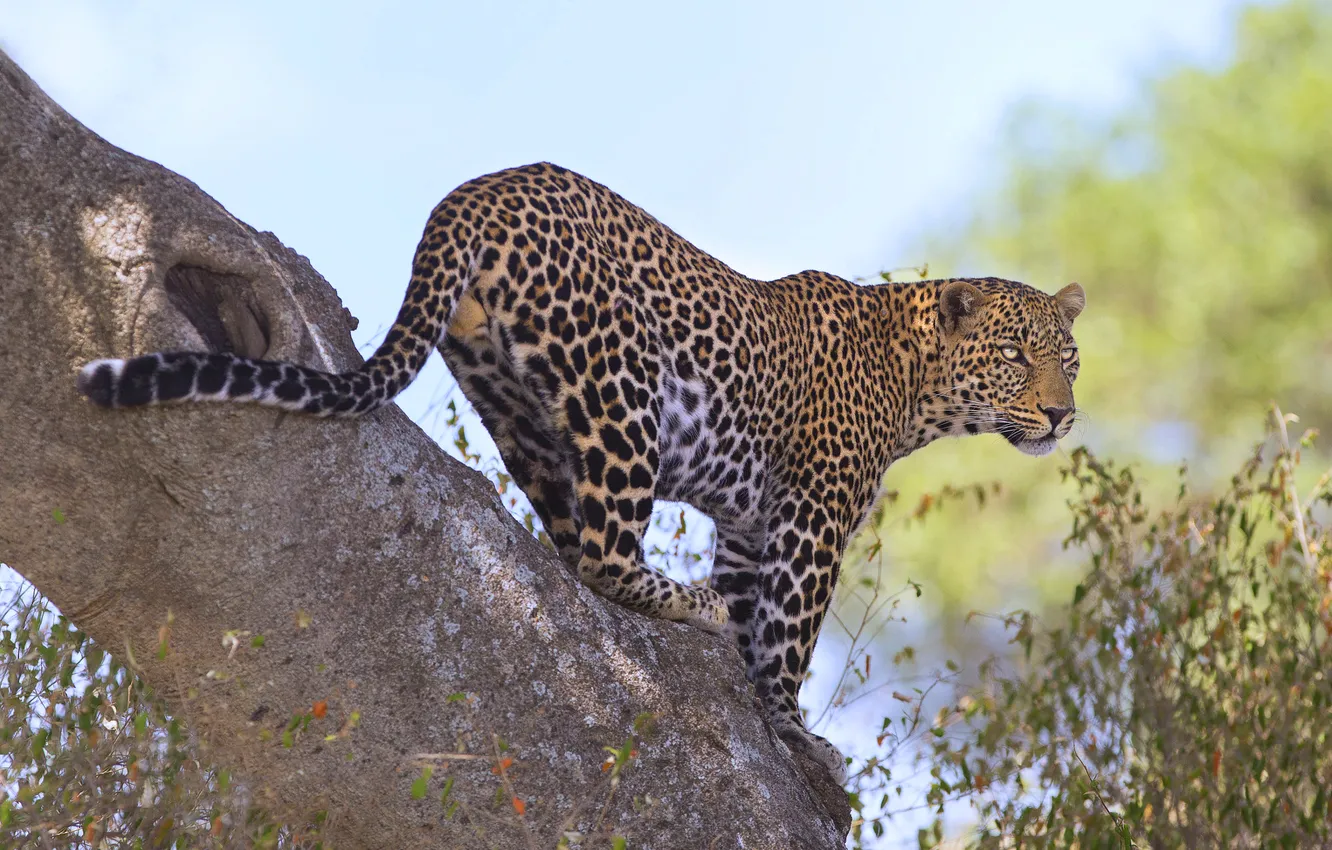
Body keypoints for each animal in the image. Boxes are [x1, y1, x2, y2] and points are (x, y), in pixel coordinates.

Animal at [77, 162, 1085, 783]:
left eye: (1067, 359)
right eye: (1014, 356)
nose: (1062, 414)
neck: (917, 386)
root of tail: (473, 193)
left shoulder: (751, 525)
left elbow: (759, 618)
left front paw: (768, 703)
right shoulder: (812, 515)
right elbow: (788, 637)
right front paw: (797, 735)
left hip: (515, 402)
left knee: (570, 540)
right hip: (621, 385)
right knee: (601, 550)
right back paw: (688, 605)